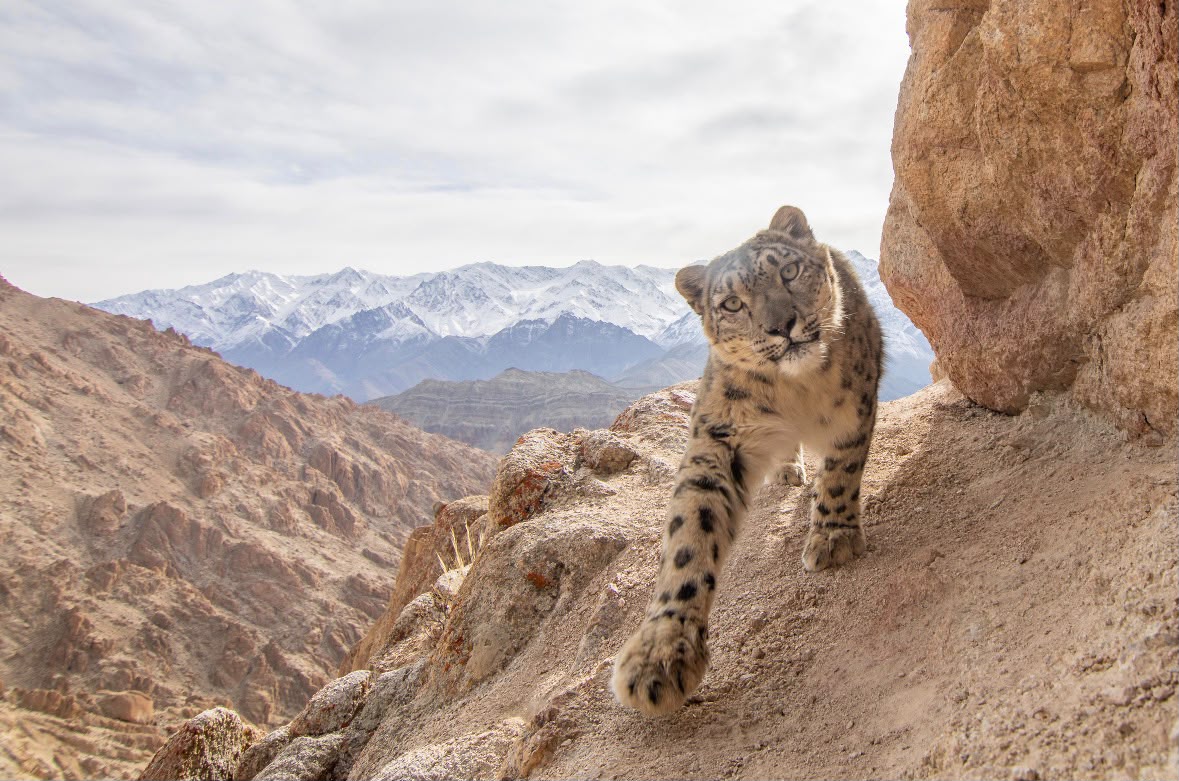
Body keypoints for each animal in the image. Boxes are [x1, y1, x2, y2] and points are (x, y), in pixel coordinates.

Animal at [611, 204, 883, 716]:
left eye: (789, 272)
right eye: (732, 305)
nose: (782, 325)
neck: (797, 392)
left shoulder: (854, 407)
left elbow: (841, 472)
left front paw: (833, 537)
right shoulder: (720, 438)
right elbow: (691, 533)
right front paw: (661, 655)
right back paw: (788, 470)